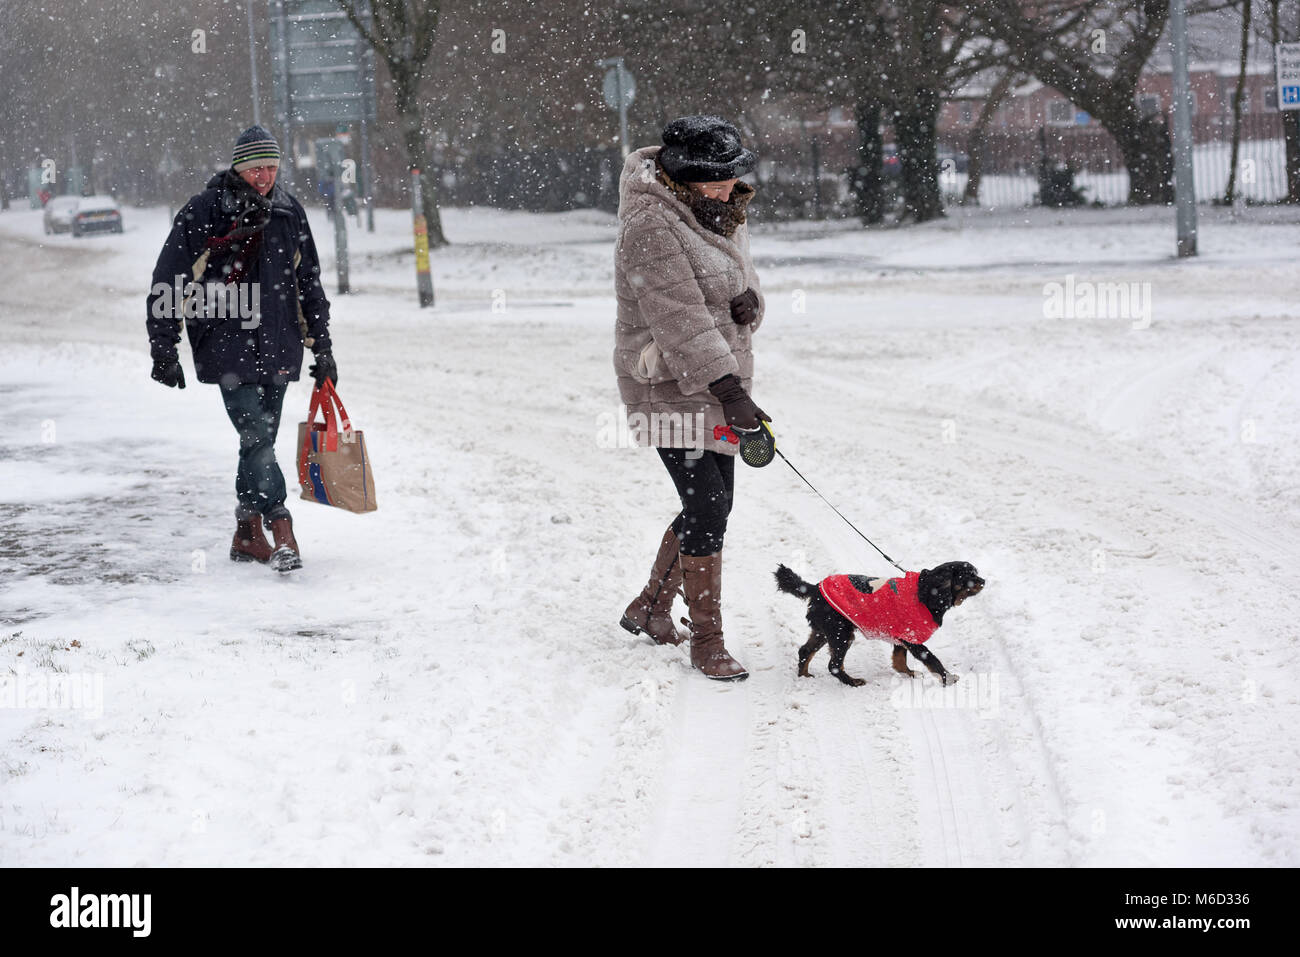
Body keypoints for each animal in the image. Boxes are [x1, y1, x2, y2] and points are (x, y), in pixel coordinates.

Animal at [769, 561, 982, 686]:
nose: (984, 580)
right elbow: (932, 660)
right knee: (834, 665)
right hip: (841, 633)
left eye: (976, 573)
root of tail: (814, 589)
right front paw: (948, 678)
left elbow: (899, 661)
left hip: (824, 631)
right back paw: (852, 681)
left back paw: (804, 676)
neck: (927, 592)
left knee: (805, 651)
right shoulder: (912, 639)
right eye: (969, 576)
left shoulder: (901, 637)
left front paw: (910, 674)